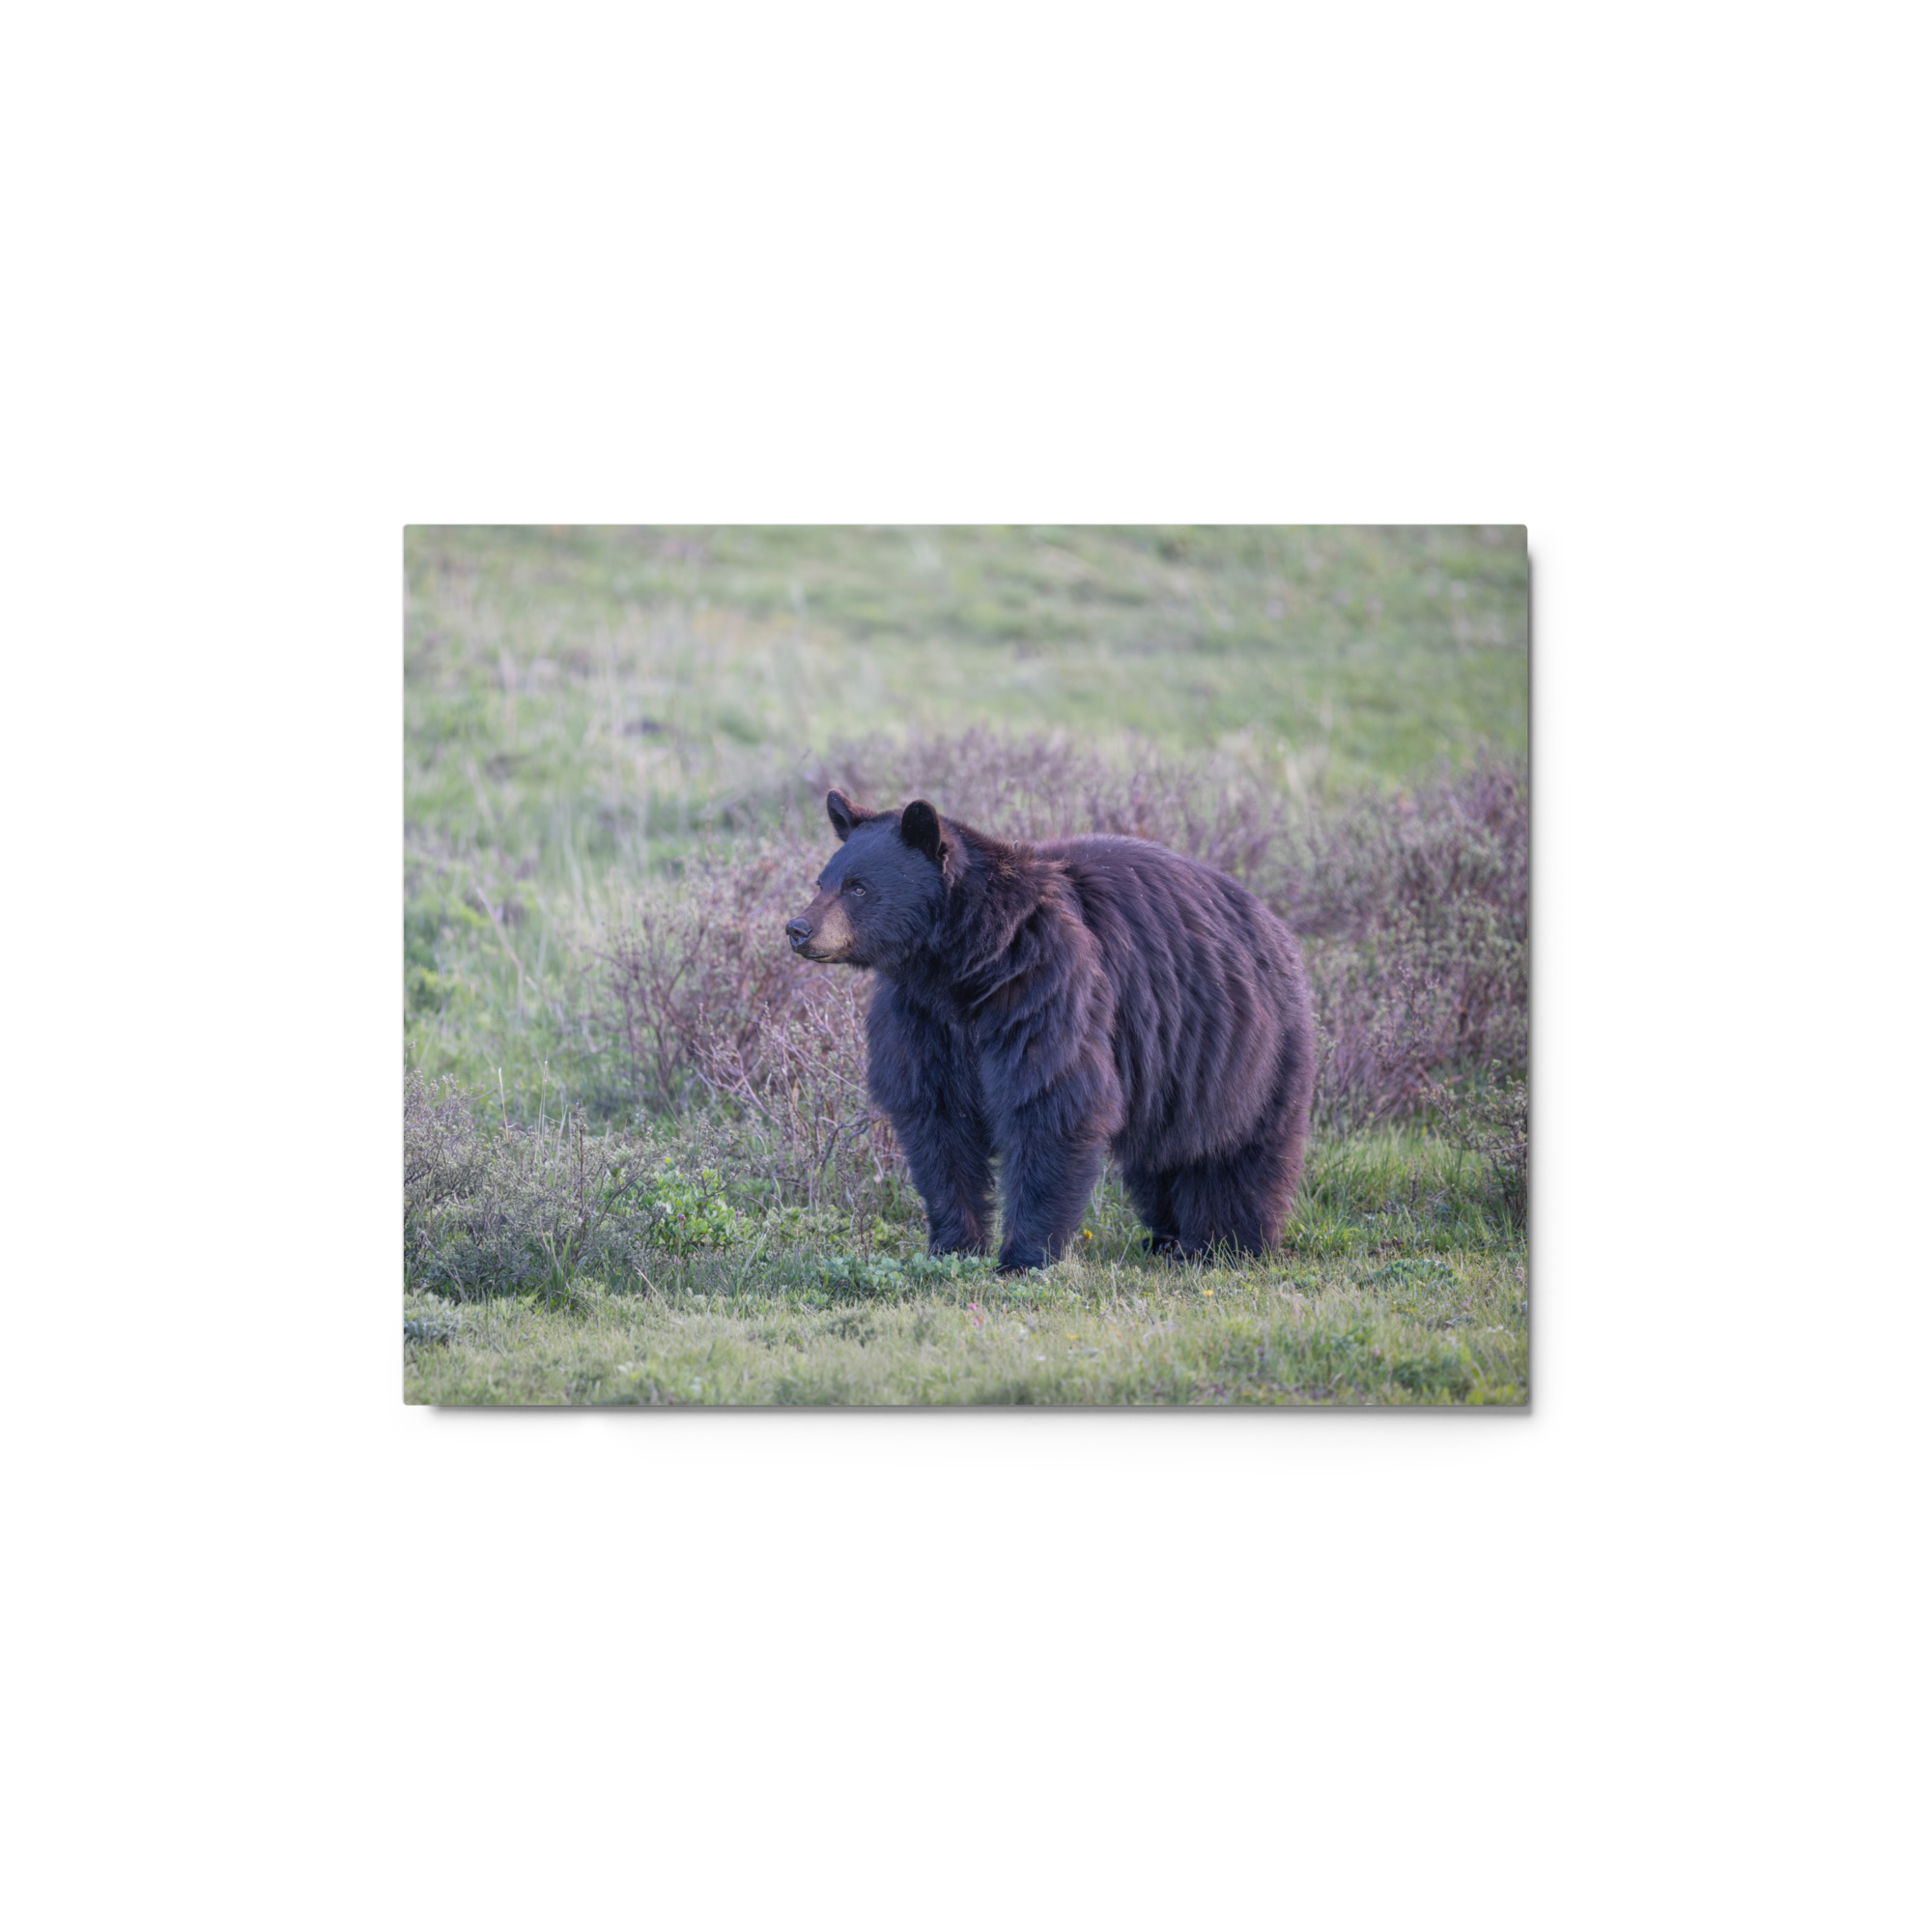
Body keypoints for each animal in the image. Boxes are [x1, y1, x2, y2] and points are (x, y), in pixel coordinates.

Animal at [784, 788, 1317, 1271]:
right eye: (822, 880)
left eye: (858, 887)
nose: (798, 928)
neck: (963, 965)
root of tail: (1274, 924)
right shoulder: (922, 1018)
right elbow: (936, 1119)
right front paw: (953, 1246)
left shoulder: (1044, 987)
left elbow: (1050, 1101)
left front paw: (1023, 1257)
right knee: (1162, 1155)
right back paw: (1167, 1238)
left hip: (1244, 1045)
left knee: (1237, 1150)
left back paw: (1224, 1243)